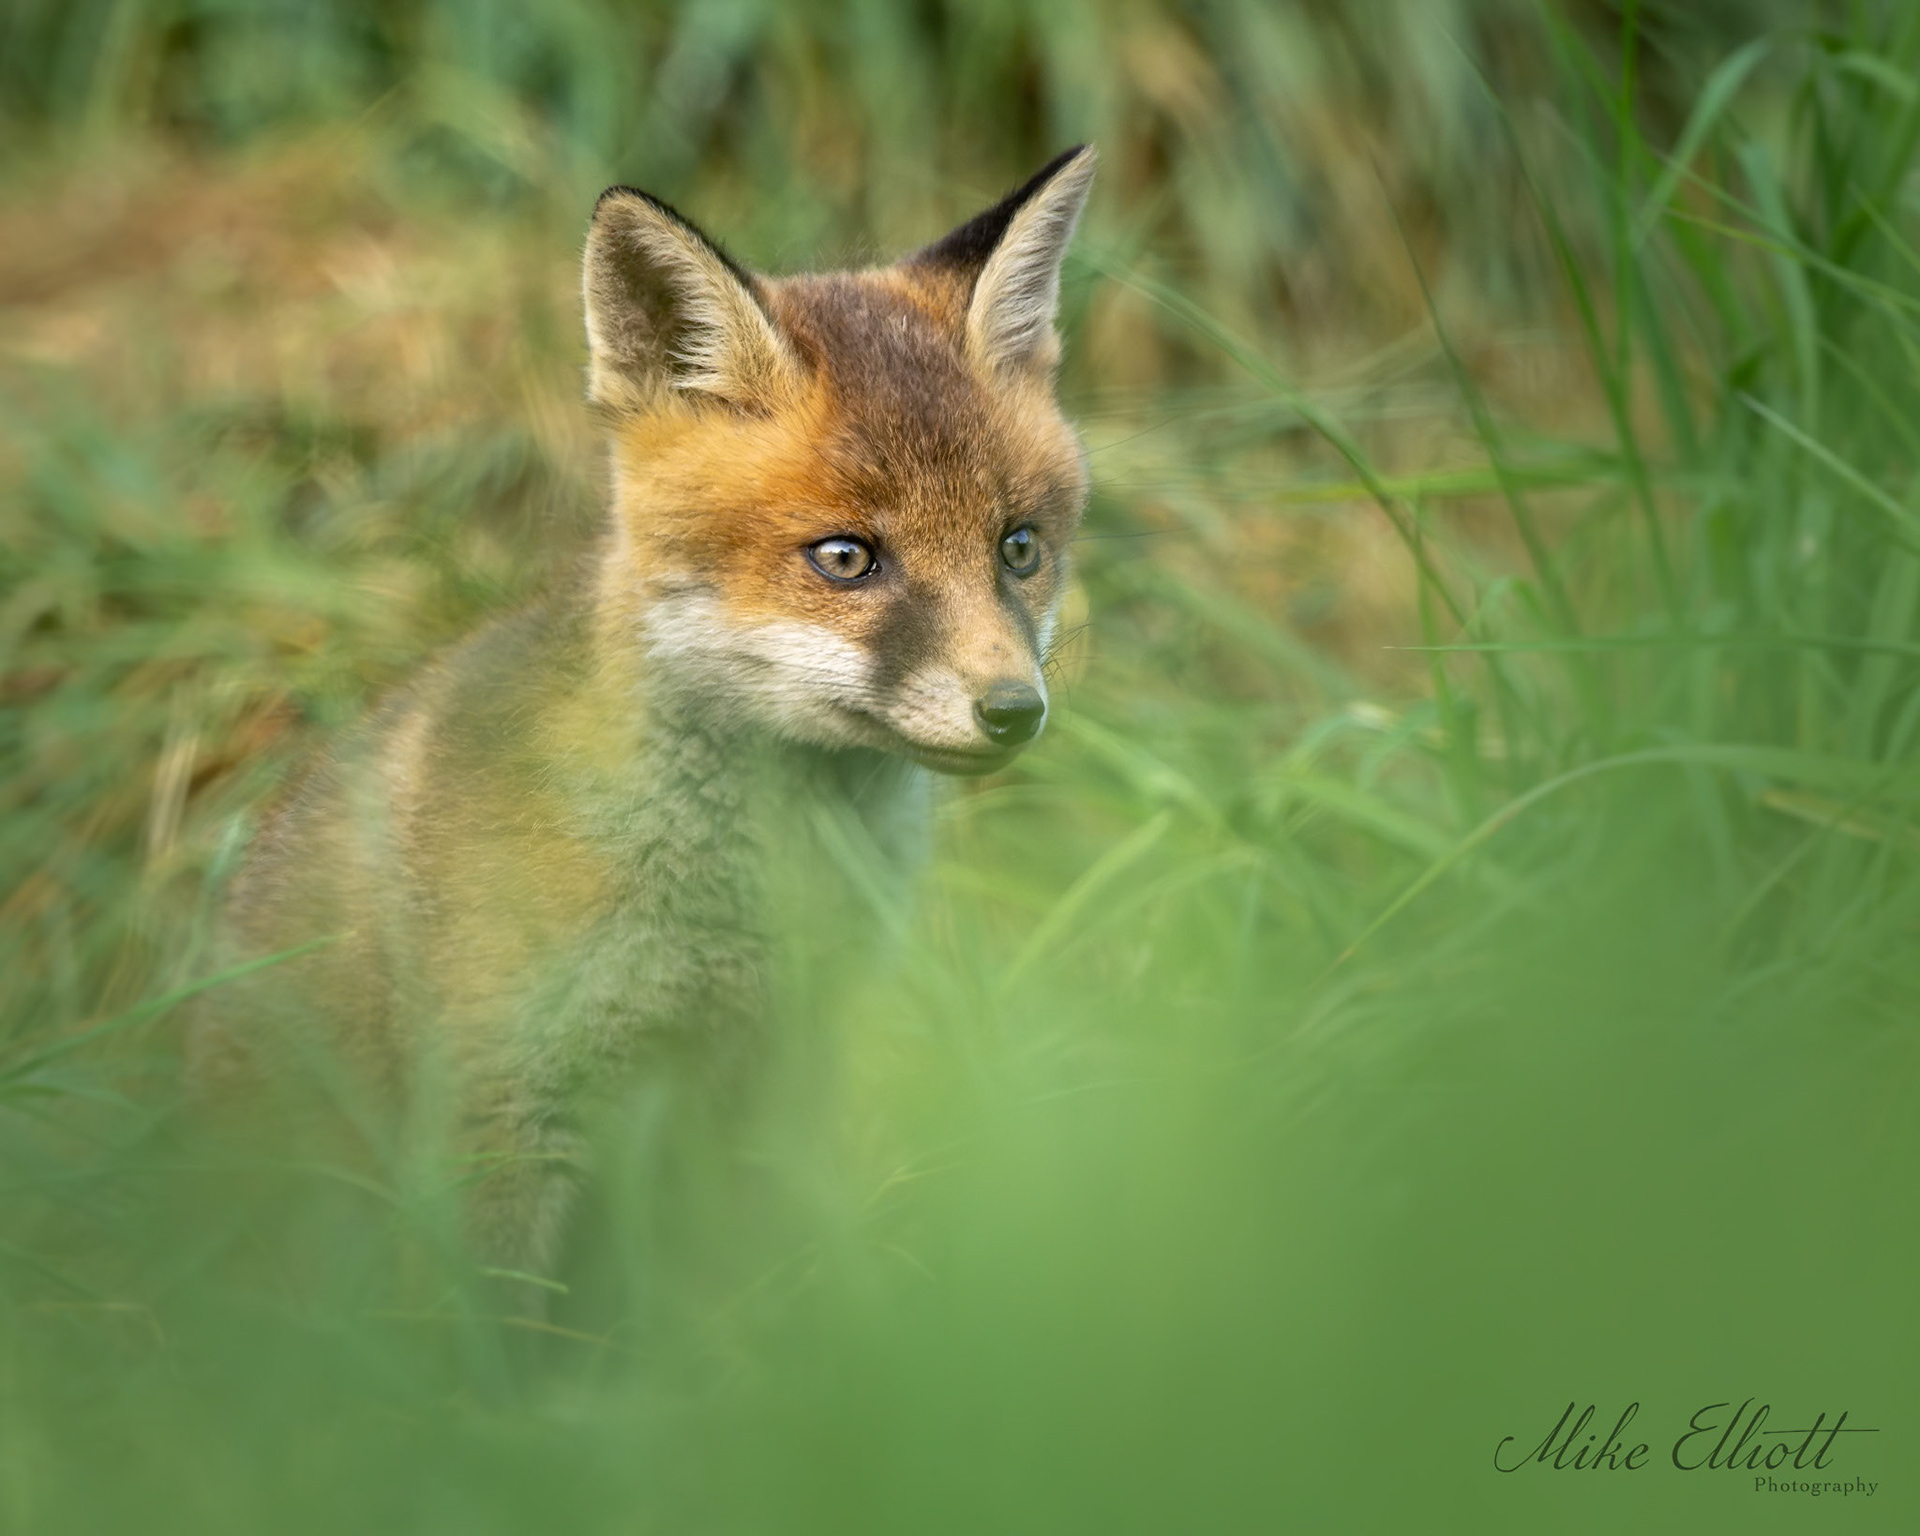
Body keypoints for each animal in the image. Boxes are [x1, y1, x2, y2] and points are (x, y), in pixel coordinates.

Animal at [187, 146, 1097, 1282]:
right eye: (846, 558)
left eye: (1018, 547)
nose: (1014, 711)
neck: (741, 907)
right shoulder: (505, 1106)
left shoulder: (782, 1075)